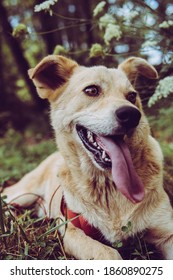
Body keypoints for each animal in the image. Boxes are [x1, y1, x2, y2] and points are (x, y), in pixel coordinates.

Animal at [2, 55, 173, 260]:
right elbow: (108, 252)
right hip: (22, 194)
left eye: (132, 96)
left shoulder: (167, 232)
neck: (109, 186)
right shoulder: (72, 232)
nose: (132, 115)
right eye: (91, 90)